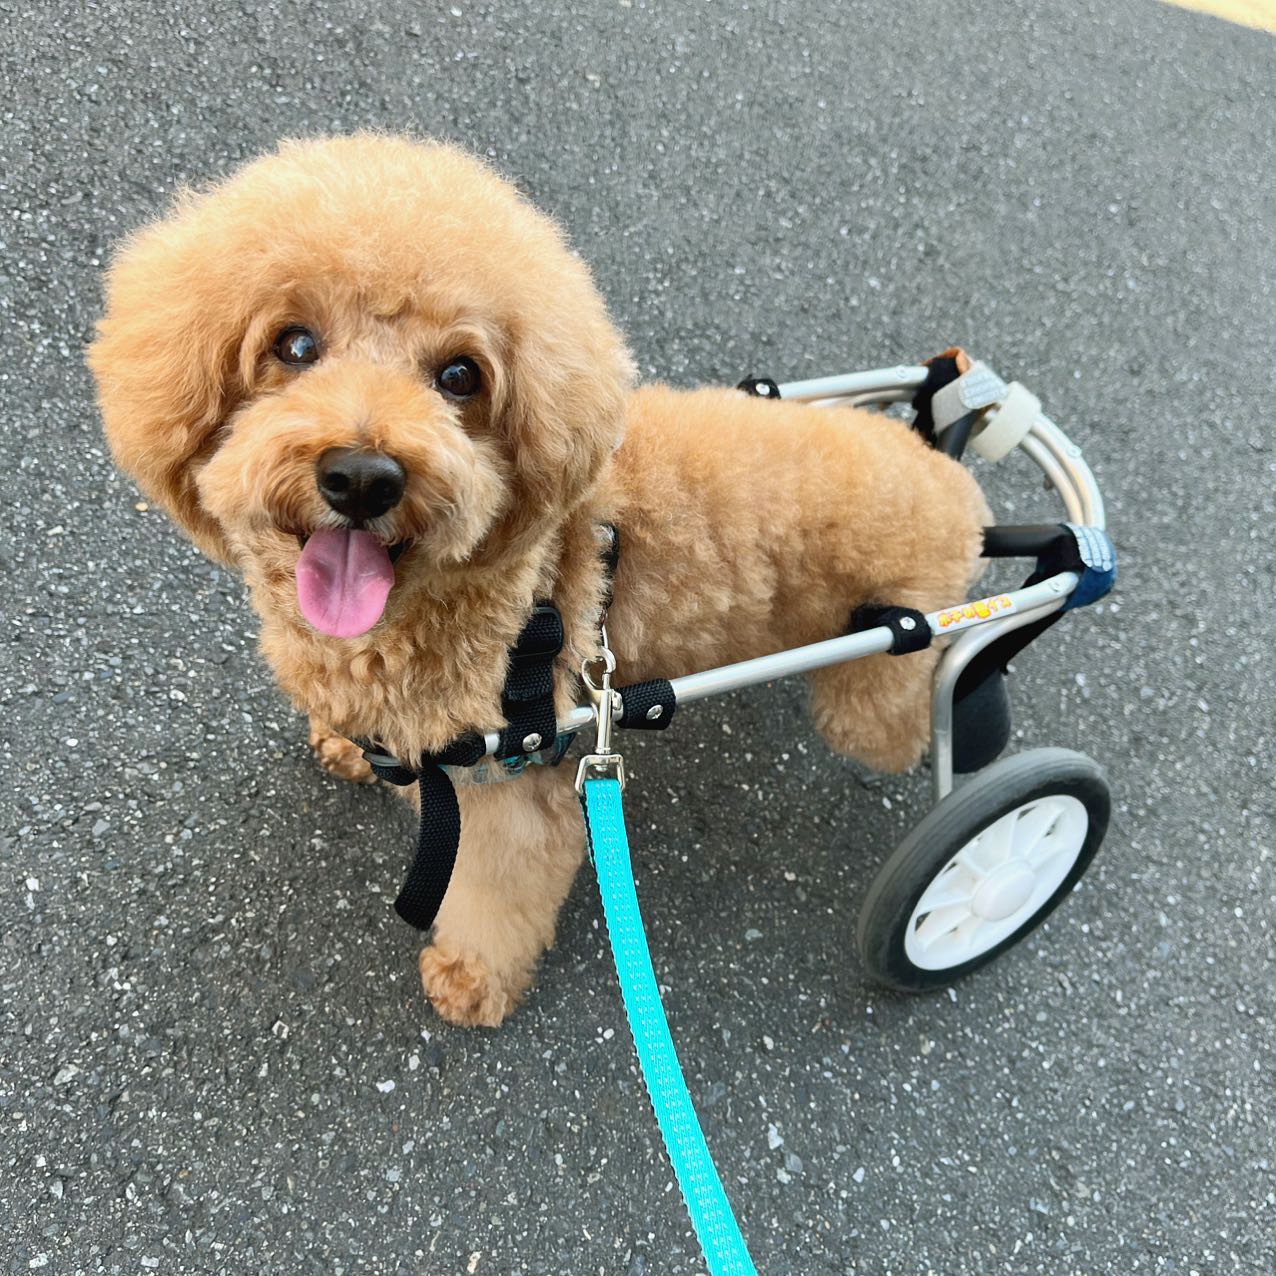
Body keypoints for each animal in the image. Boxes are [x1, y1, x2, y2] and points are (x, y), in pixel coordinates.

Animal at [89, 134, 990, 1027]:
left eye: (460, 376)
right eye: (295, 345)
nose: (363, 478)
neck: (507, 587)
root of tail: (953, 482)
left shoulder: (513, 786)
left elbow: (495, 891)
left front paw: (471, 979)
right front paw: (345, 744)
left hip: (879, 682)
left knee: (910, 719)